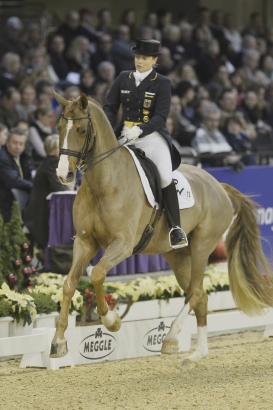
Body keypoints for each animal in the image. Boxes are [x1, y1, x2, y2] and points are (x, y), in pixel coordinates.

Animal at [50, 92, 272, 362]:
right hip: (177, 255)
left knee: (196, 292)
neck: (103, 183)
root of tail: (218, 185)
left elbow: (97, 274)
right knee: (199, 296)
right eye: (60, 128)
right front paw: (58, 342)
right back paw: (197, 353)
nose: (64, 175)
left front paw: (111, 320)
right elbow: (69, 284)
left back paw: (172, 338)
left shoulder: (122, 245)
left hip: (202, 246)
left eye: (81, 130)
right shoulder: (85, 242)